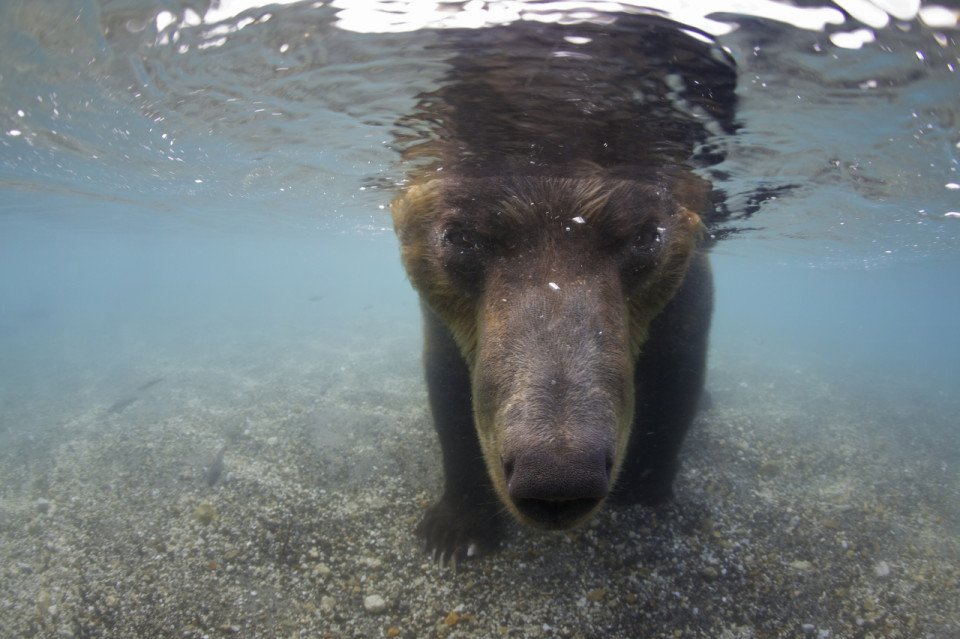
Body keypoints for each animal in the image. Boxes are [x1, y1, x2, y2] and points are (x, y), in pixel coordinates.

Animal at [390, 13, 736, 564]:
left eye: (645, 236)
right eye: (460, 236)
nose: (556, 476)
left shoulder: (682, 296)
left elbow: (677, 374)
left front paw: (644, 487)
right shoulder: (446, 314)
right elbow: (451, 390)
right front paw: (456, 530)